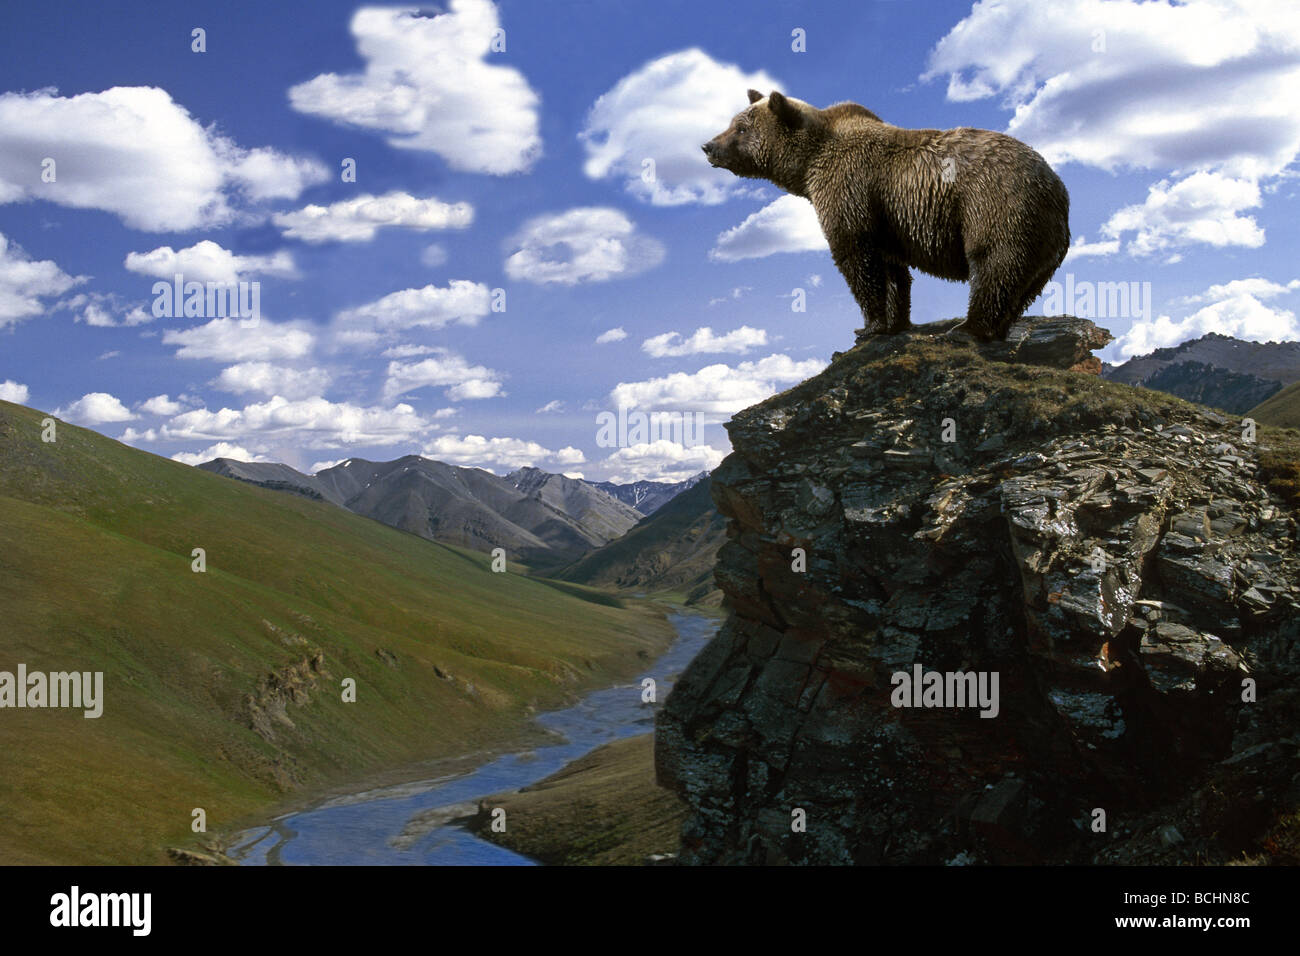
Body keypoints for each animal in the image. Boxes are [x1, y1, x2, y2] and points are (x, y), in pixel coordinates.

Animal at [707, 90, 1071, 343]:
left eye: (740, 128)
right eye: (732, 122)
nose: (708, 146)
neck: (809, 162)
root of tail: (1058, 188)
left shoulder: (848, 187)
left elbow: (856, 255)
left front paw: (869, 327)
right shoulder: (887, 214)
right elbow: (894, 269)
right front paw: (896, 321)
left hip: (995, 204)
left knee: (993, 262)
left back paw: (966, 328)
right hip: (1042, 236)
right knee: (1024, 284)